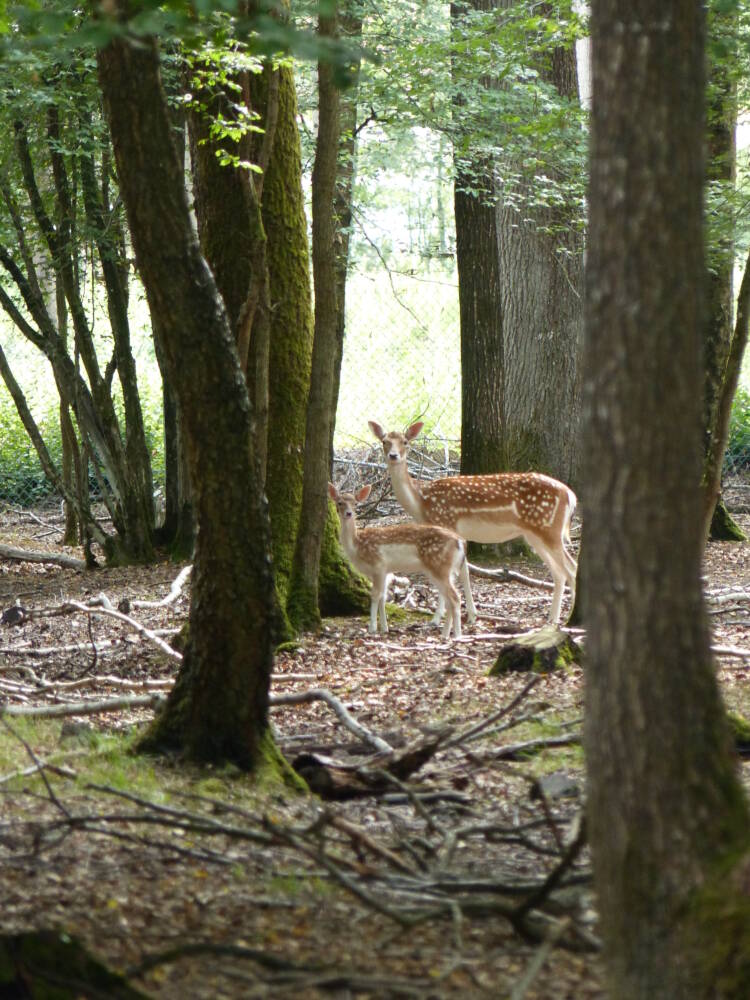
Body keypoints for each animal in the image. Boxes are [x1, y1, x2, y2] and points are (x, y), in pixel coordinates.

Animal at [330, 482, 468, 640]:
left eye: (355, 503)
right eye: (340, 502)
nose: (348, 513)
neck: (356, 545)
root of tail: (460, 542)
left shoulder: (378, 565)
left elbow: (375, 595)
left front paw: (372, 628)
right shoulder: (384, 571)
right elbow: (383, 597)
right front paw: (384, 628)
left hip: (438, 565)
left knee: (455, 597)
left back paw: (457, 635)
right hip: (446, 569)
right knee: (450, 598)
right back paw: (445, 634)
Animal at [372, 420, 580, 624]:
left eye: (405, 442)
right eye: (384, 441)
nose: (393, 455)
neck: (421, 502)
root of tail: (570, 495)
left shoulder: (446, 522)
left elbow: (453, 574)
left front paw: (437, 618)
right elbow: (464, 572)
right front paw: (472, 615)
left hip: (549, 529)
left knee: (571, 568)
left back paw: (568, 618)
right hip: (535, 534)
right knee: (559, 572)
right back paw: (553, 618)